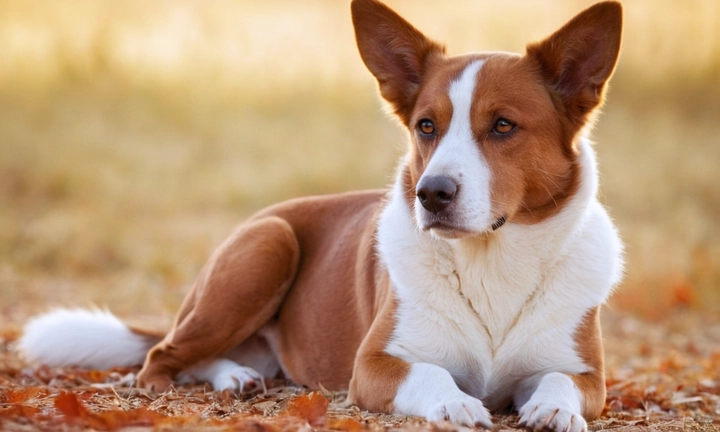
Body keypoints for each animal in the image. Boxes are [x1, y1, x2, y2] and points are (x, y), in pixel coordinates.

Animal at [16, 1, 624, 430]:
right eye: (426, 126)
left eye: (502, 126)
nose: (431, 193)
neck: (491, 264)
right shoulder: (373, 366)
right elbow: (430, 371)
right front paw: (457, 404)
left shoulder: (587, 375)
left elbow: (560, 383)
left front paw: (555, 410)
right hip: (268, 244)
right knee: (162, 359)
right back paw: (217, 379)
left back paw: (238, 375)